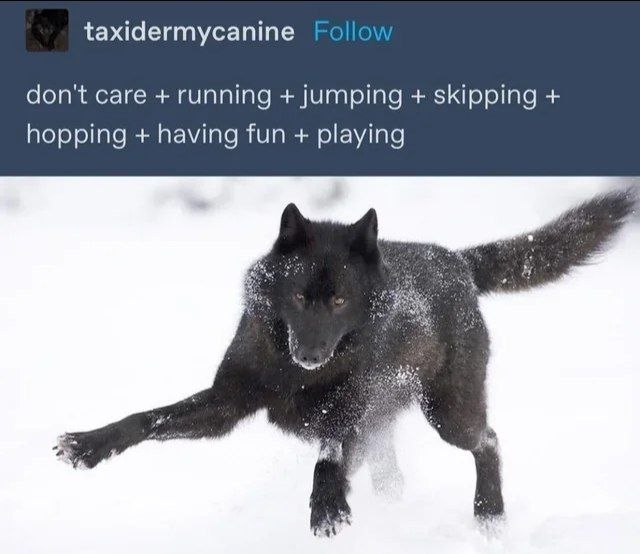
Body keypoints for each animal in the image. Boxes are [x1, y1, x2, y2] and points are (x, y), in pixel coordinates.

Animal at [55, 190, 635, 537]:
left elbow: (329, 450)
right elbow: (146, 418)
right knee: (395, 473)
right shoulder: (225, 404)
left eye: (338, 301)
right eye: (299, 296)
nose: (310, 355)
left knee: (488, 441)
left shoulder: (351, 407)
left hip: (448, 414)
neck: (291, 374)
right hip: (398, 423)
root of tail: (457, 261)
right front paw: (86, 446)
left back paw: (489, 518)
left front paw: (327, 505)